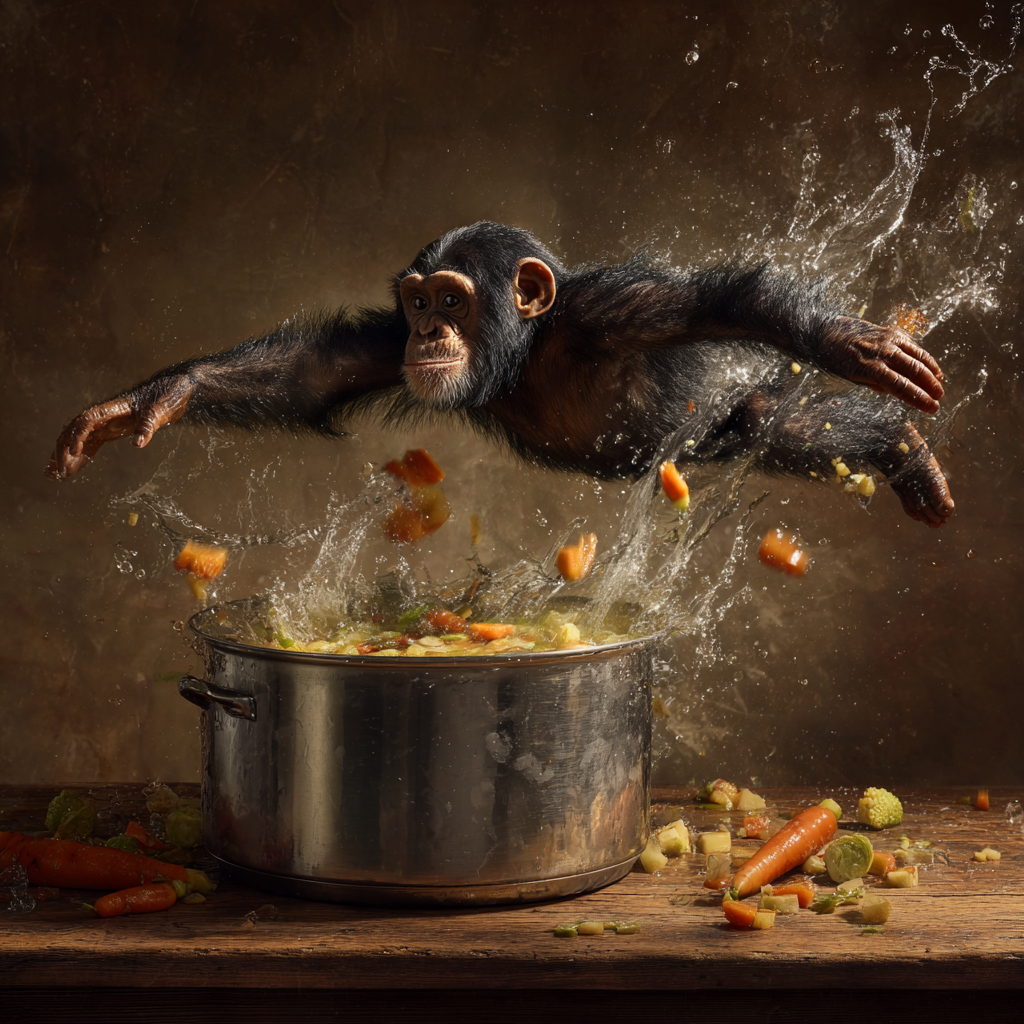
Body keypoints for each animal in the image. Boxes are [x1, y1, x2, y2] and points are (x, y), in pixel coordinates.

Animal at [48, 221, 953, 527]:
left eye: (454, 297)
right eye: (418, 301)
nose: (430, 330)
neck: (529, 352)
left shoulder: (619, 310)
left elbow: (723, 300)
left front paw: (849, 342)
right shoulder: (384, 348)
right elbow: (312, 371)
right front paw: (151, 399)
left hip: (724, 411)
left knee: (775, 420)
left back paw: (904, 449)